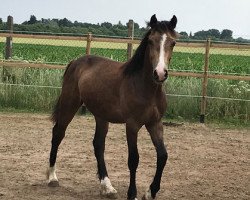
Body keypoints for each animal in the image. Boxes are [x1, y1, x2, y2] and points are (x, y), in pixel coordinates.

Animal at [47, 14, 178, 200]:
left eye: (173, 42)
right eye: (151, 41)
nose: (160, 74)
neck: (145, 87)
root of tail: (75, 61)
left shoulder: (155, 123)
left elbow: (163, 155)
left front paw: (150, 192)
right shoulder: (132, 125)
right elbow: (133, 159)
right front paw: (132, 194)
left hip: (101, 115)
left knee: (98, 145)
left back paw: (107, 186)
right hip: (69, 104)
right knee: (58, 134)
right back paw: (52, 177)